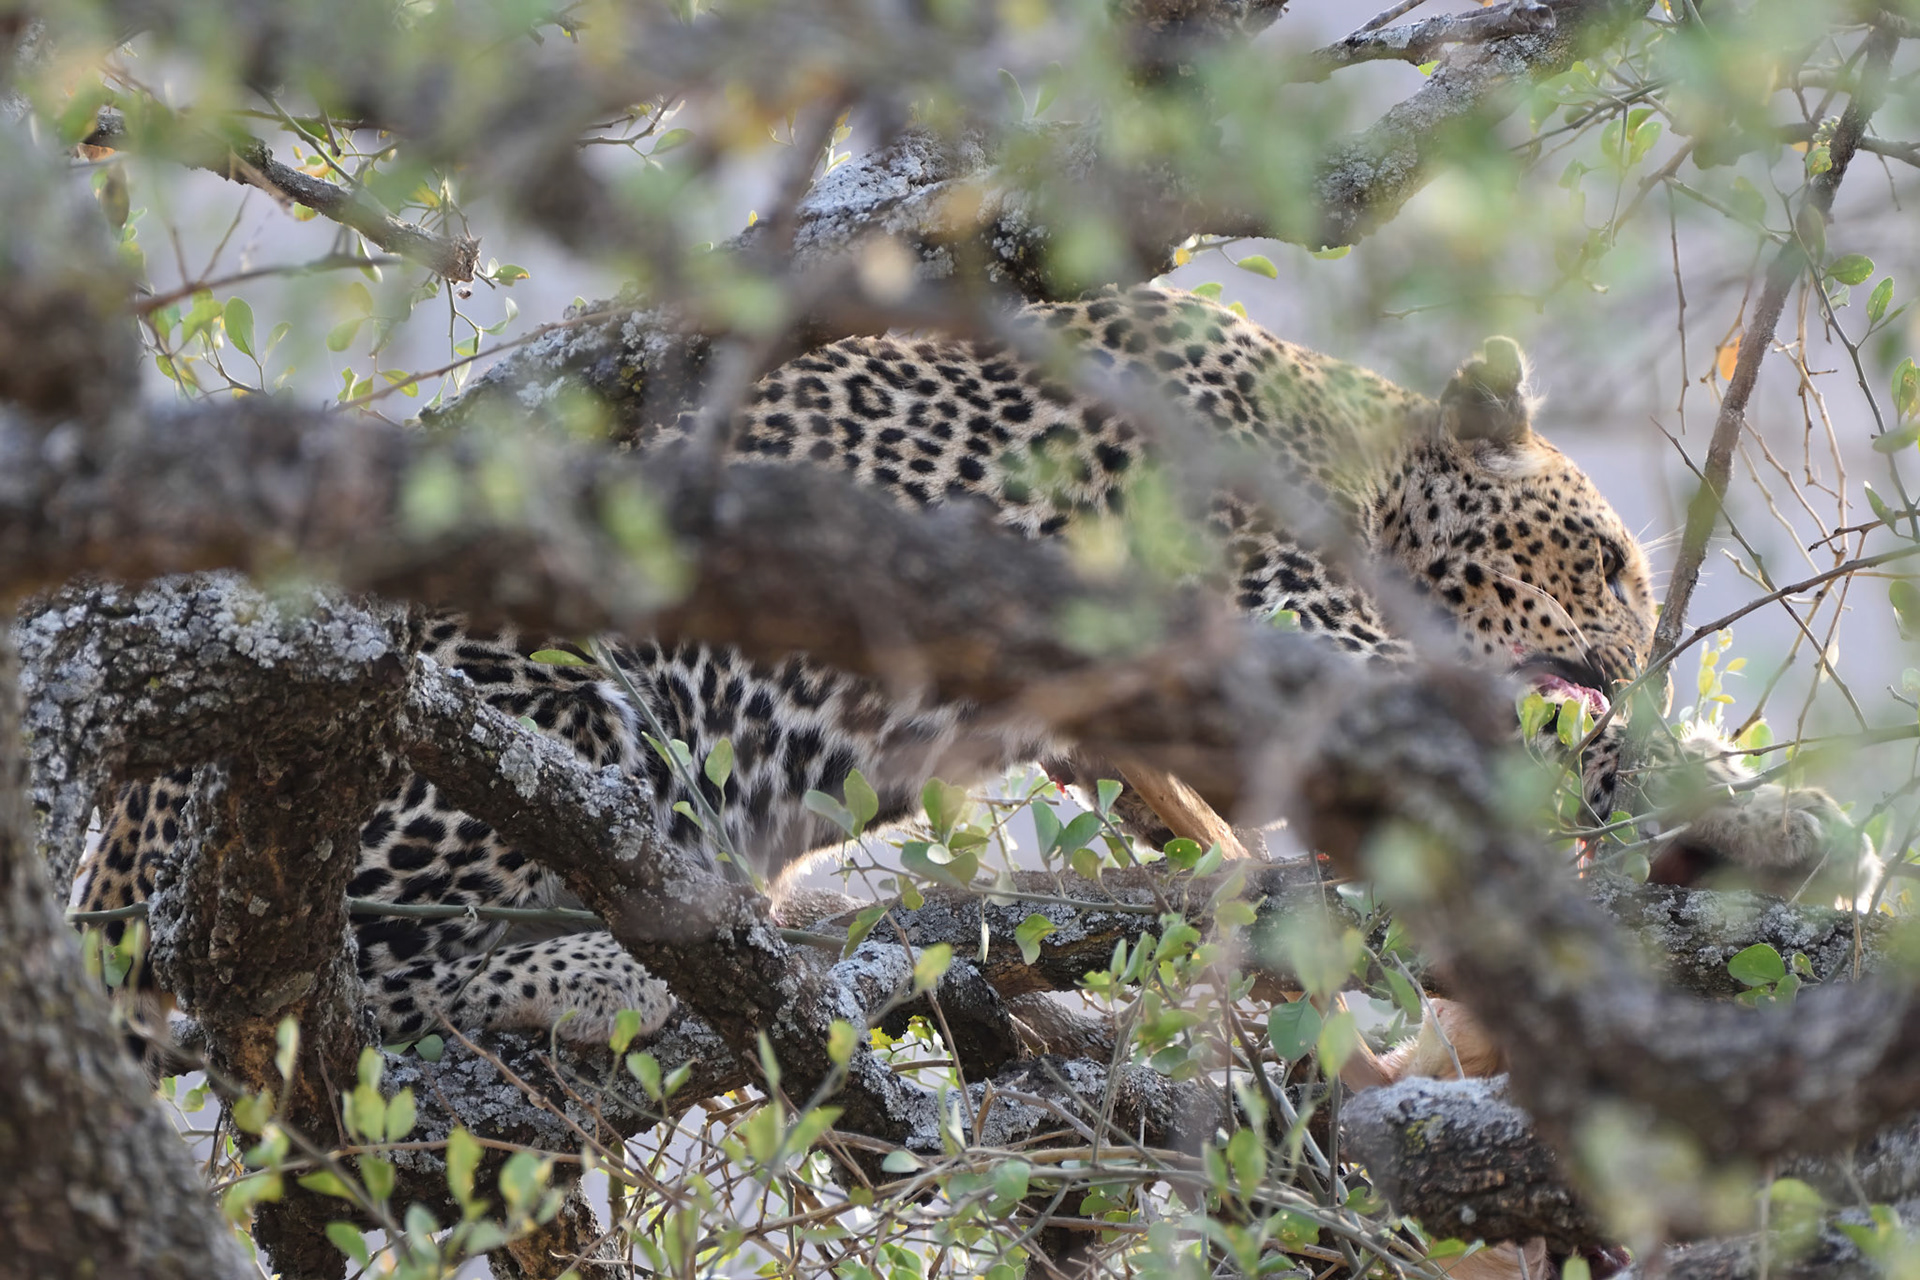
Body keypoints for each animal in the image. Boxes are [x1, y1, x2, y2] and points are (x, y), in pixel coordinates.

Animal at [70, 285, 1854, 1061]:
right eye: (1609, 560)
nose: (1636, 645)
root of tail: (105, 847)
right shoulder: (1271, 608)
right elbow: (1518, 734)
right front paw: (1767, 814)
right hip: (531, 708)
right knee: (327, 965)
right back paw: (639, 965)